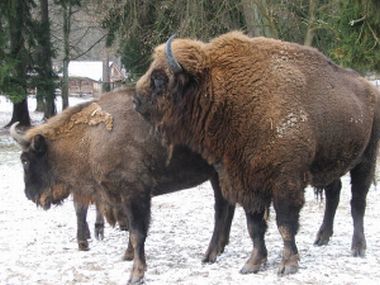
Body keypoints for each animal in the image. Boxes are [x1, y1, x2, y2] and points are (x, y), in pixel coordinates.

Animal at [11, 87, 235, 282]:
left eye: (25, 160)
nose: (29, 194)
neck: (90, 139)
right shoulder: (122, 197)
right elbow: (130, 229)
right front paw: (127, 255)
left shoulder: (135, 193)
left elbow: (137, 233)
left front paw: (136, 274)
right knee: (226, 208)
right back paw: (219, 249)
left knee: (221, 210)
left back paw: (209, 255)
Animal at [135, 31, 380, 278]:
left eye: (159, 78)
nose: (136, 100)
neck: (223, 91)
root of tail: (371, 90)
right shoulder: (244, 182)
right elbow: (254, 225)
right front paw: (253, 263)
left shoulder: (285, 182)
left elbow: (285, 223)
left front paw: (288, 264)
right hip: (331, 163)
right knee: (334, 194)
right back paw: (322, 238)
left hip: (366, 160)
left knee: (357, 202)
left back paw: (358, 248)